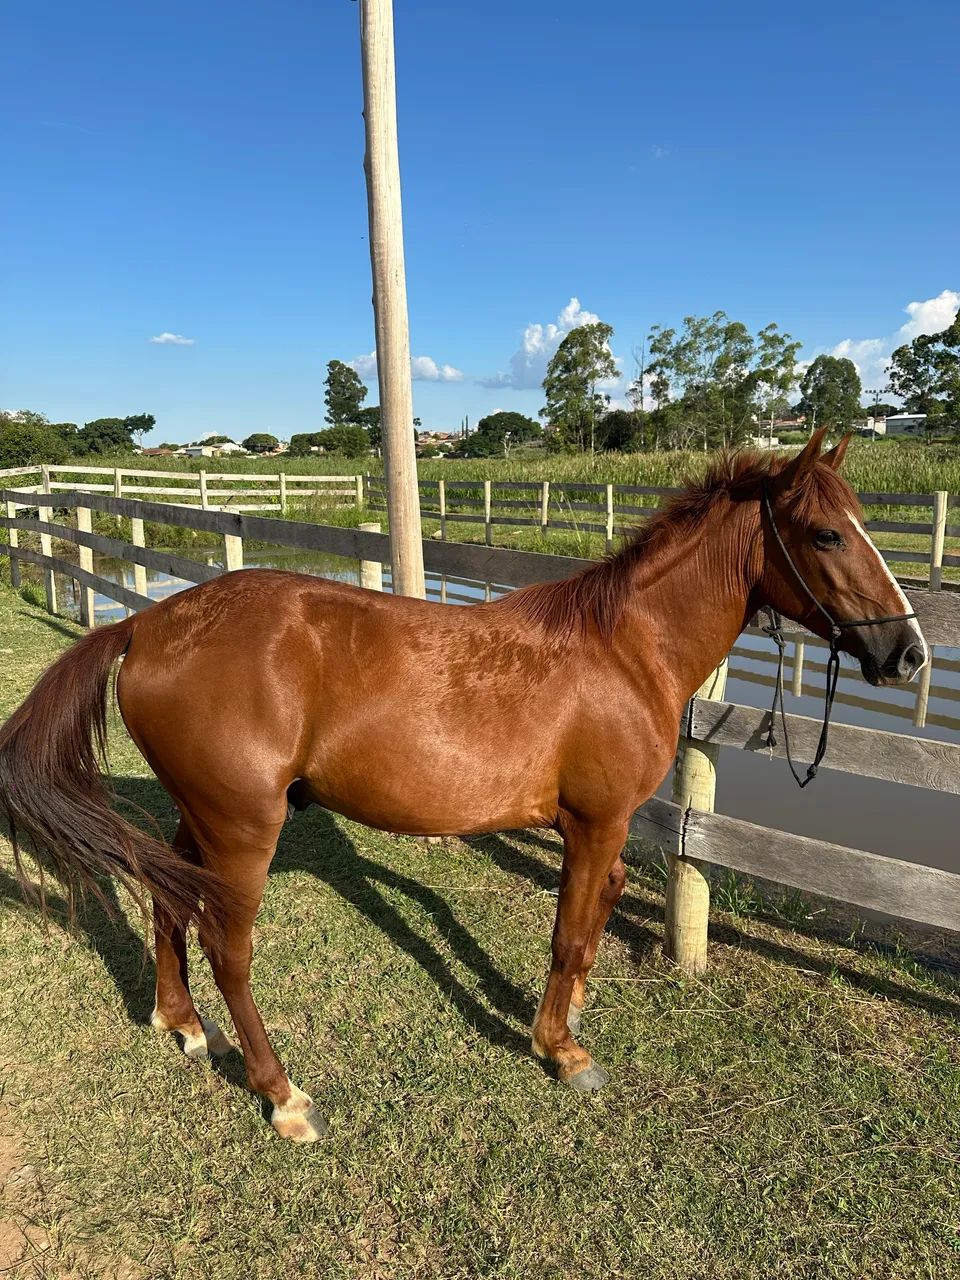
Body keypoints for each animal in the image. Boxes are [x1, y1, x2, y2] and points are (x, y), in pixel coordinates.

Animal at [0, 428, 928, 1141]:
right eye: (827, 535)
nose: (908, 653)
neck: (625, 649)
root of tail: (147, 622)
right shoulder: (596, 821)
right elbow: (571, 934)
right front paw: (562, 1050)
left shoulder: (599, 828)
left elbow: (596, 914)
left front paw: (571, 1017)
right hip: (242, 829)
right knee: (230, 950)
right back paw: (283, 1094)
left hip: (201, 819)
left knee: (167, 902)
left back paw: (183, 1024)